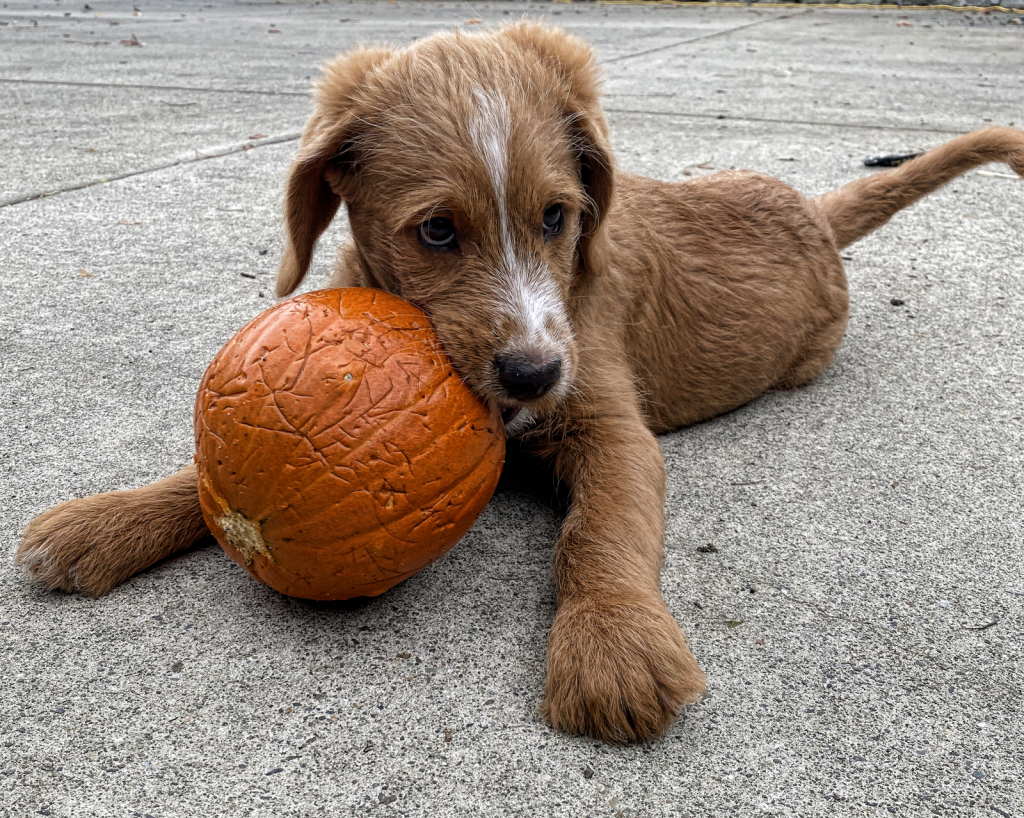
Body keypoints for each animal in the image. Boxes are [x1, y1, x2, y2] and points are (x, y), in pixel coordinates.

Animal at [18, 20, 1024, 749]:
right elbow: (210, 476)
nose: (534, 373)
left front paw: (611, 645)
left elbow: (600, 533)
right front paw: (104, 522)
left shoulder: (611, 423)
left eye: (556, 217)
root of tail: (813, 210)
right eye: (435, 231)